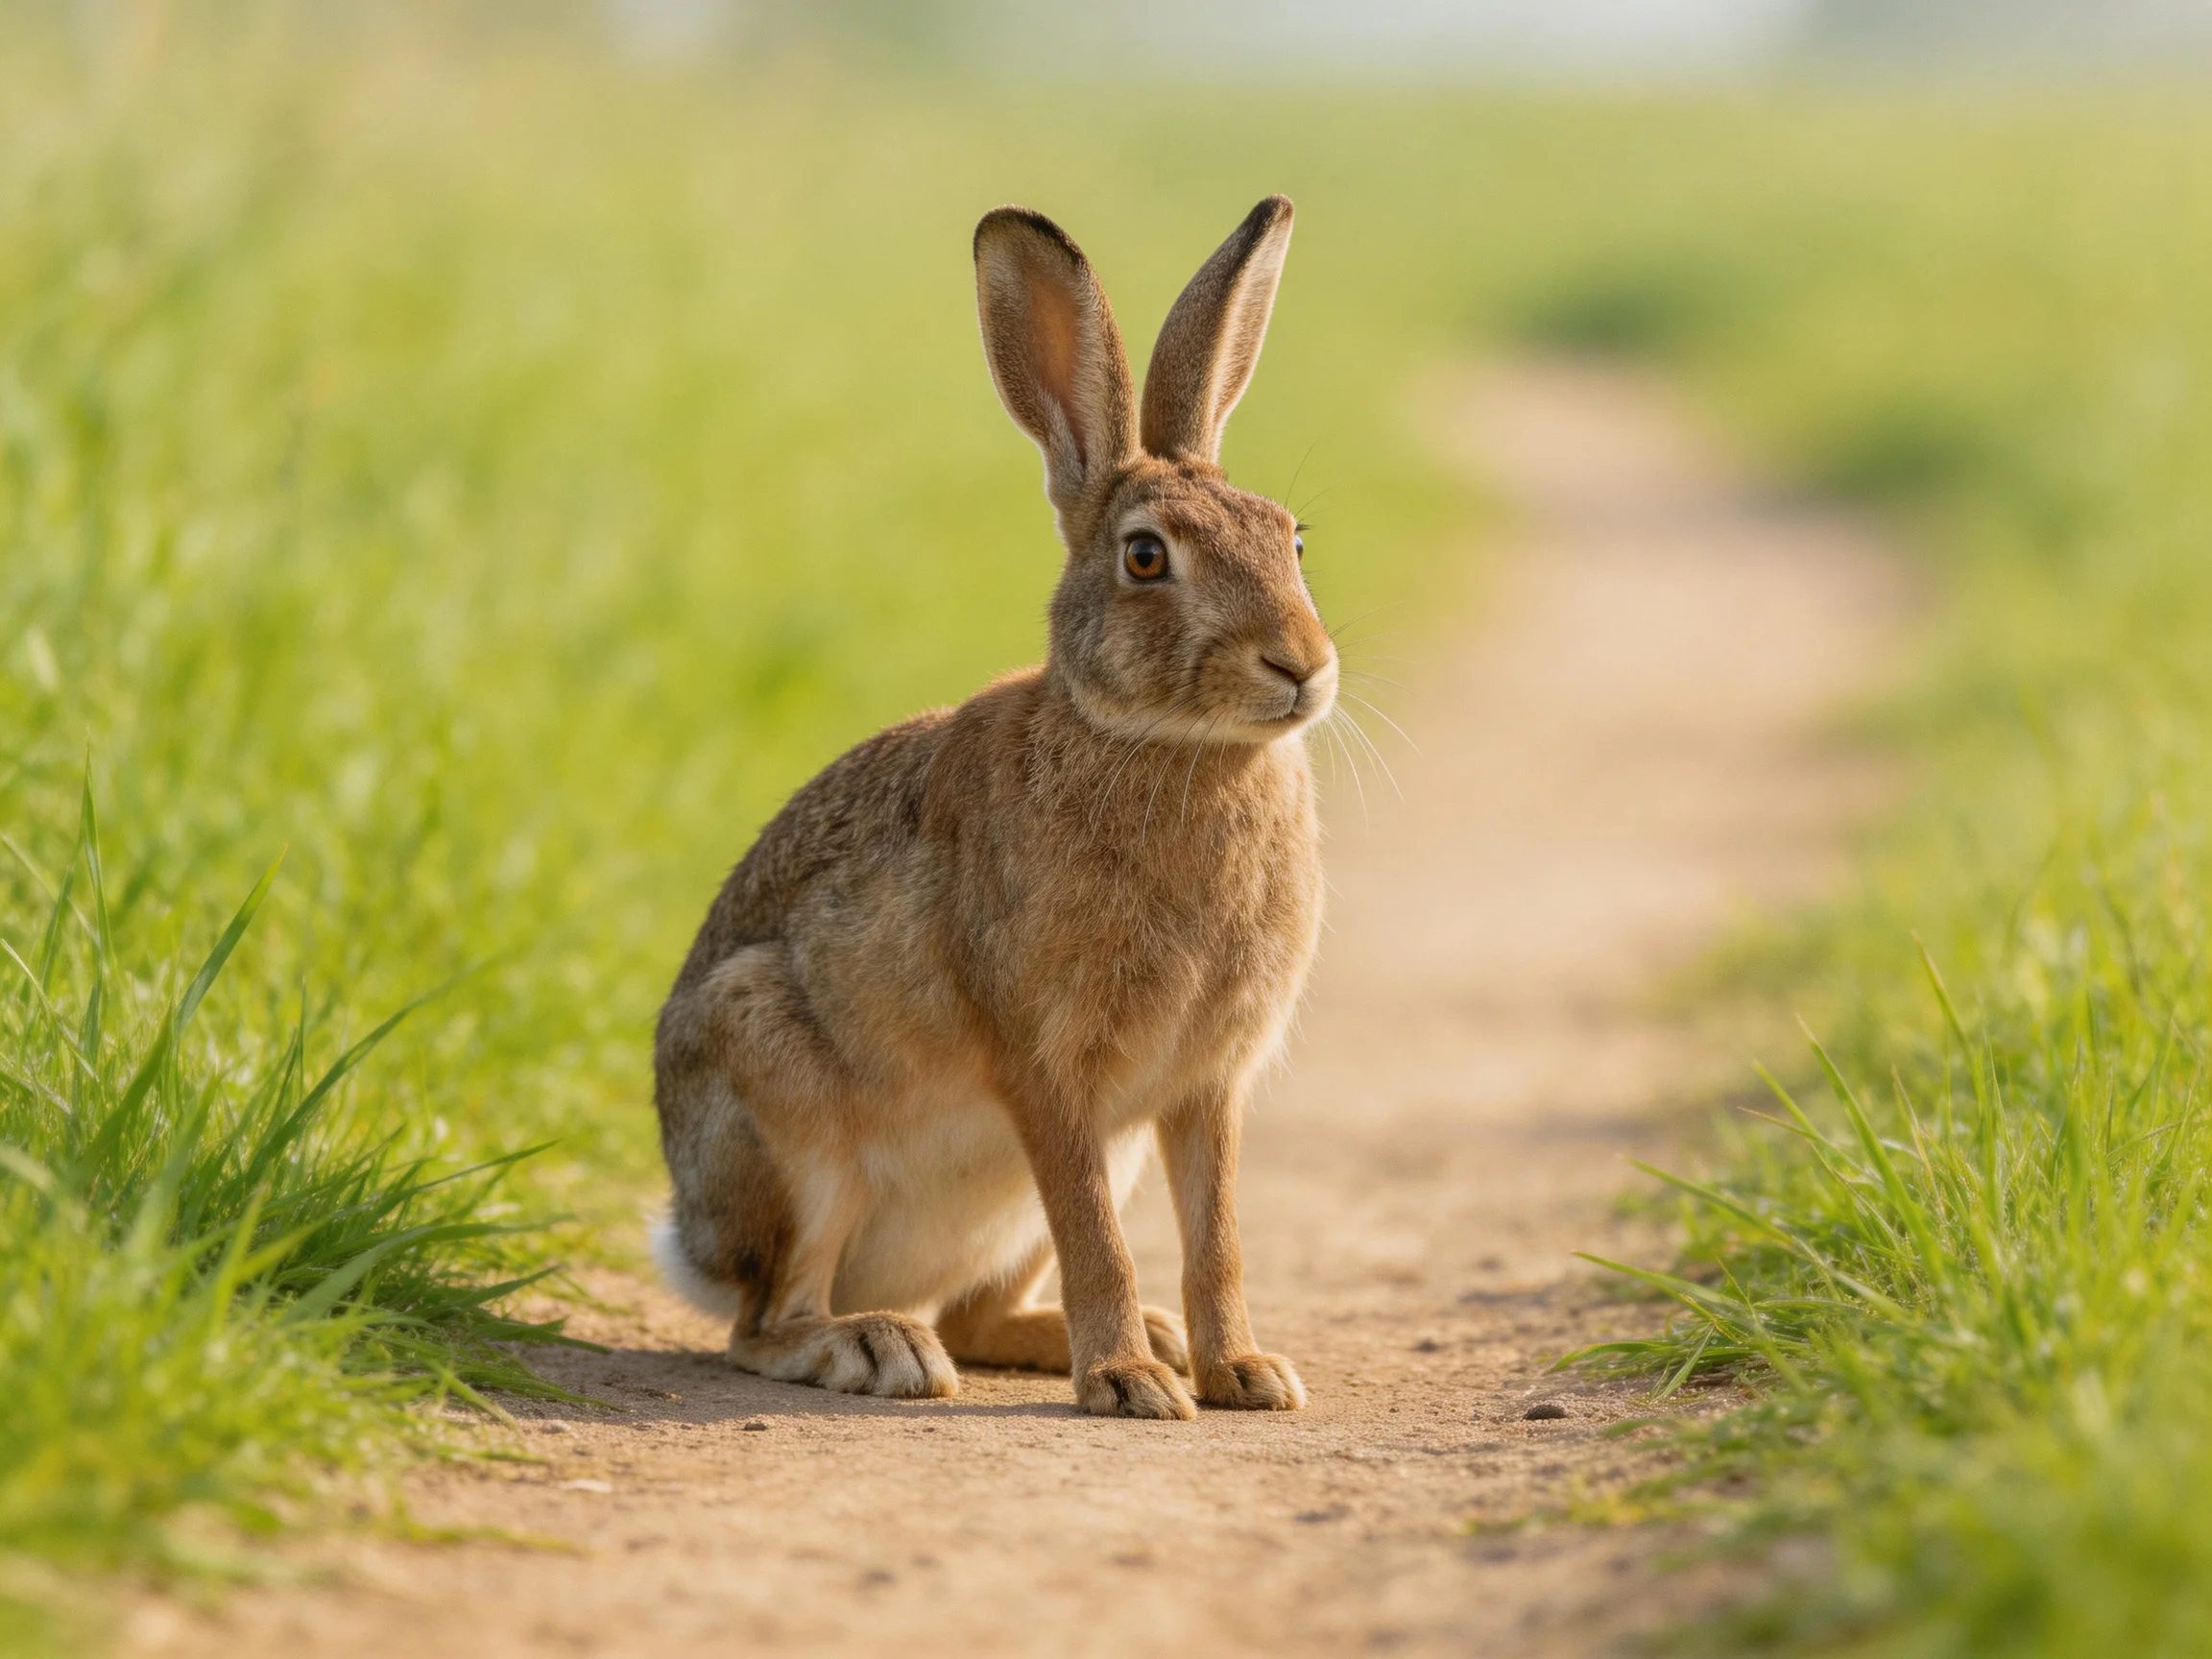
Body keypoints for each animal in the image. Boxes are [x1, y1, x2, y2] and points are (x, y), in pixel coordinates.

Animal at [651, 195, 1334, 1420]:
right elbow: (1100, 1237)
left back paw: (1127, 1341)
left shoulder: (1205, 1087)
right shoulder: (1046, 1069)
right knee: (763, 1323)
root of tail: (693, 1238)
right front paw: (1126, 1385)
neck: (1170, 748)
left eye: (1292, 538)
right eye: (1146, 557)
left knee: (970, 1314)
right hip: (787, 1117)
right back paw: (879, 1348)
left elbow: (1216, 1237)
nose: (1301, 665)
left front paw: (1243, 1373)